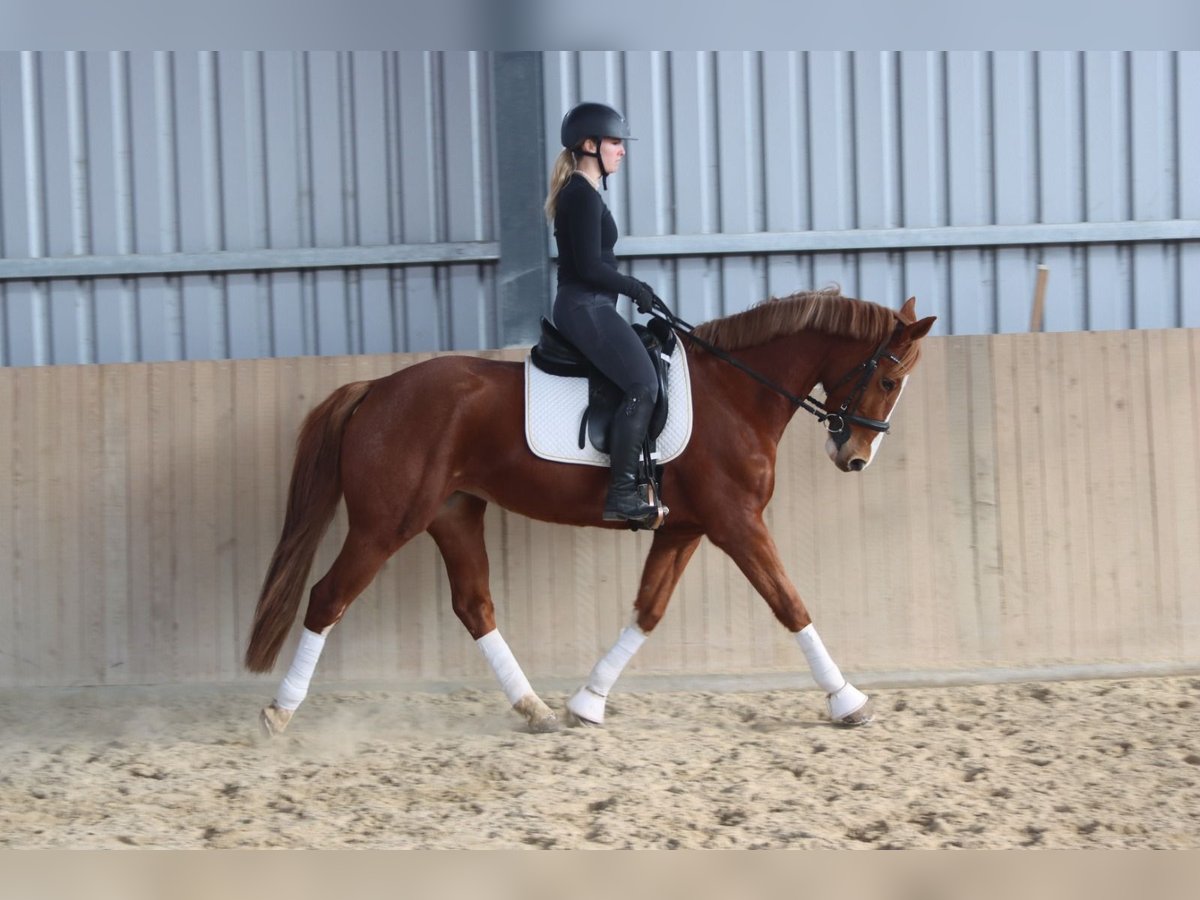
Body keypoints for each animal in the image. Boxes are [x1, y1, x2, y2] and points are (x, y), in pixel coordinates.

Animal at [243, 292, 936, 734]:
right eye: (888, 379)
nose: (854, 456)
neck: (736, 393)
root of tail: (376, 389)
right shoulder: (737, 524)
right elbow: (790, 603)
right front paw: (848, 700)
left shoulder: (686, 528)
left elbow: (648, 611)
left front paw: (588, 702)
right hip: (385, 524)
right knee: (328, 598)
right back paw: (279, 711)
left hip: (453, 514)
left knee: (474, 606)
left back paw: (535, 709)